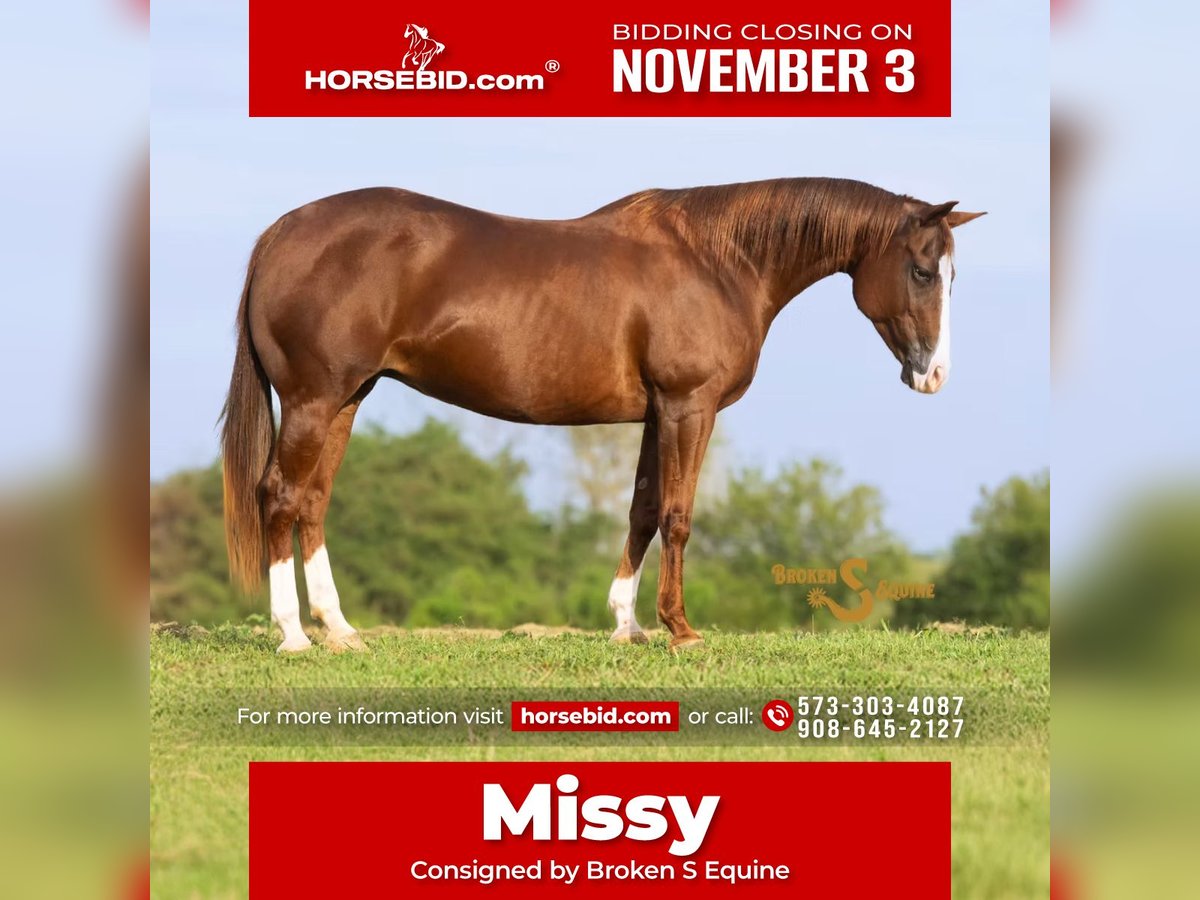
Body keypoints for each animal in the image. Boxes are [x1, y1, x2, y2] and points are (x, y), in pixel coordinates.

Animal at [220, 178, 984, 653]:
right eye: (922, 270)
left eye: (953, 276)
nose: (934, 376)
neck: (720, 262)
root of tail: (282, 232)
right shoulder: (687, 407)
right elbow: (677, 513)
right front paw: (680, 629)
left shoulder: (655, 414)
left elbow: (642, 509)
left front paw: (627, 625)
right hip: (314, 400)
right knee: (280, 497)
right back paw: (293, 635)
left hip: (347, 400)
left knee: (314, 502)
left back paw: (341, 630)